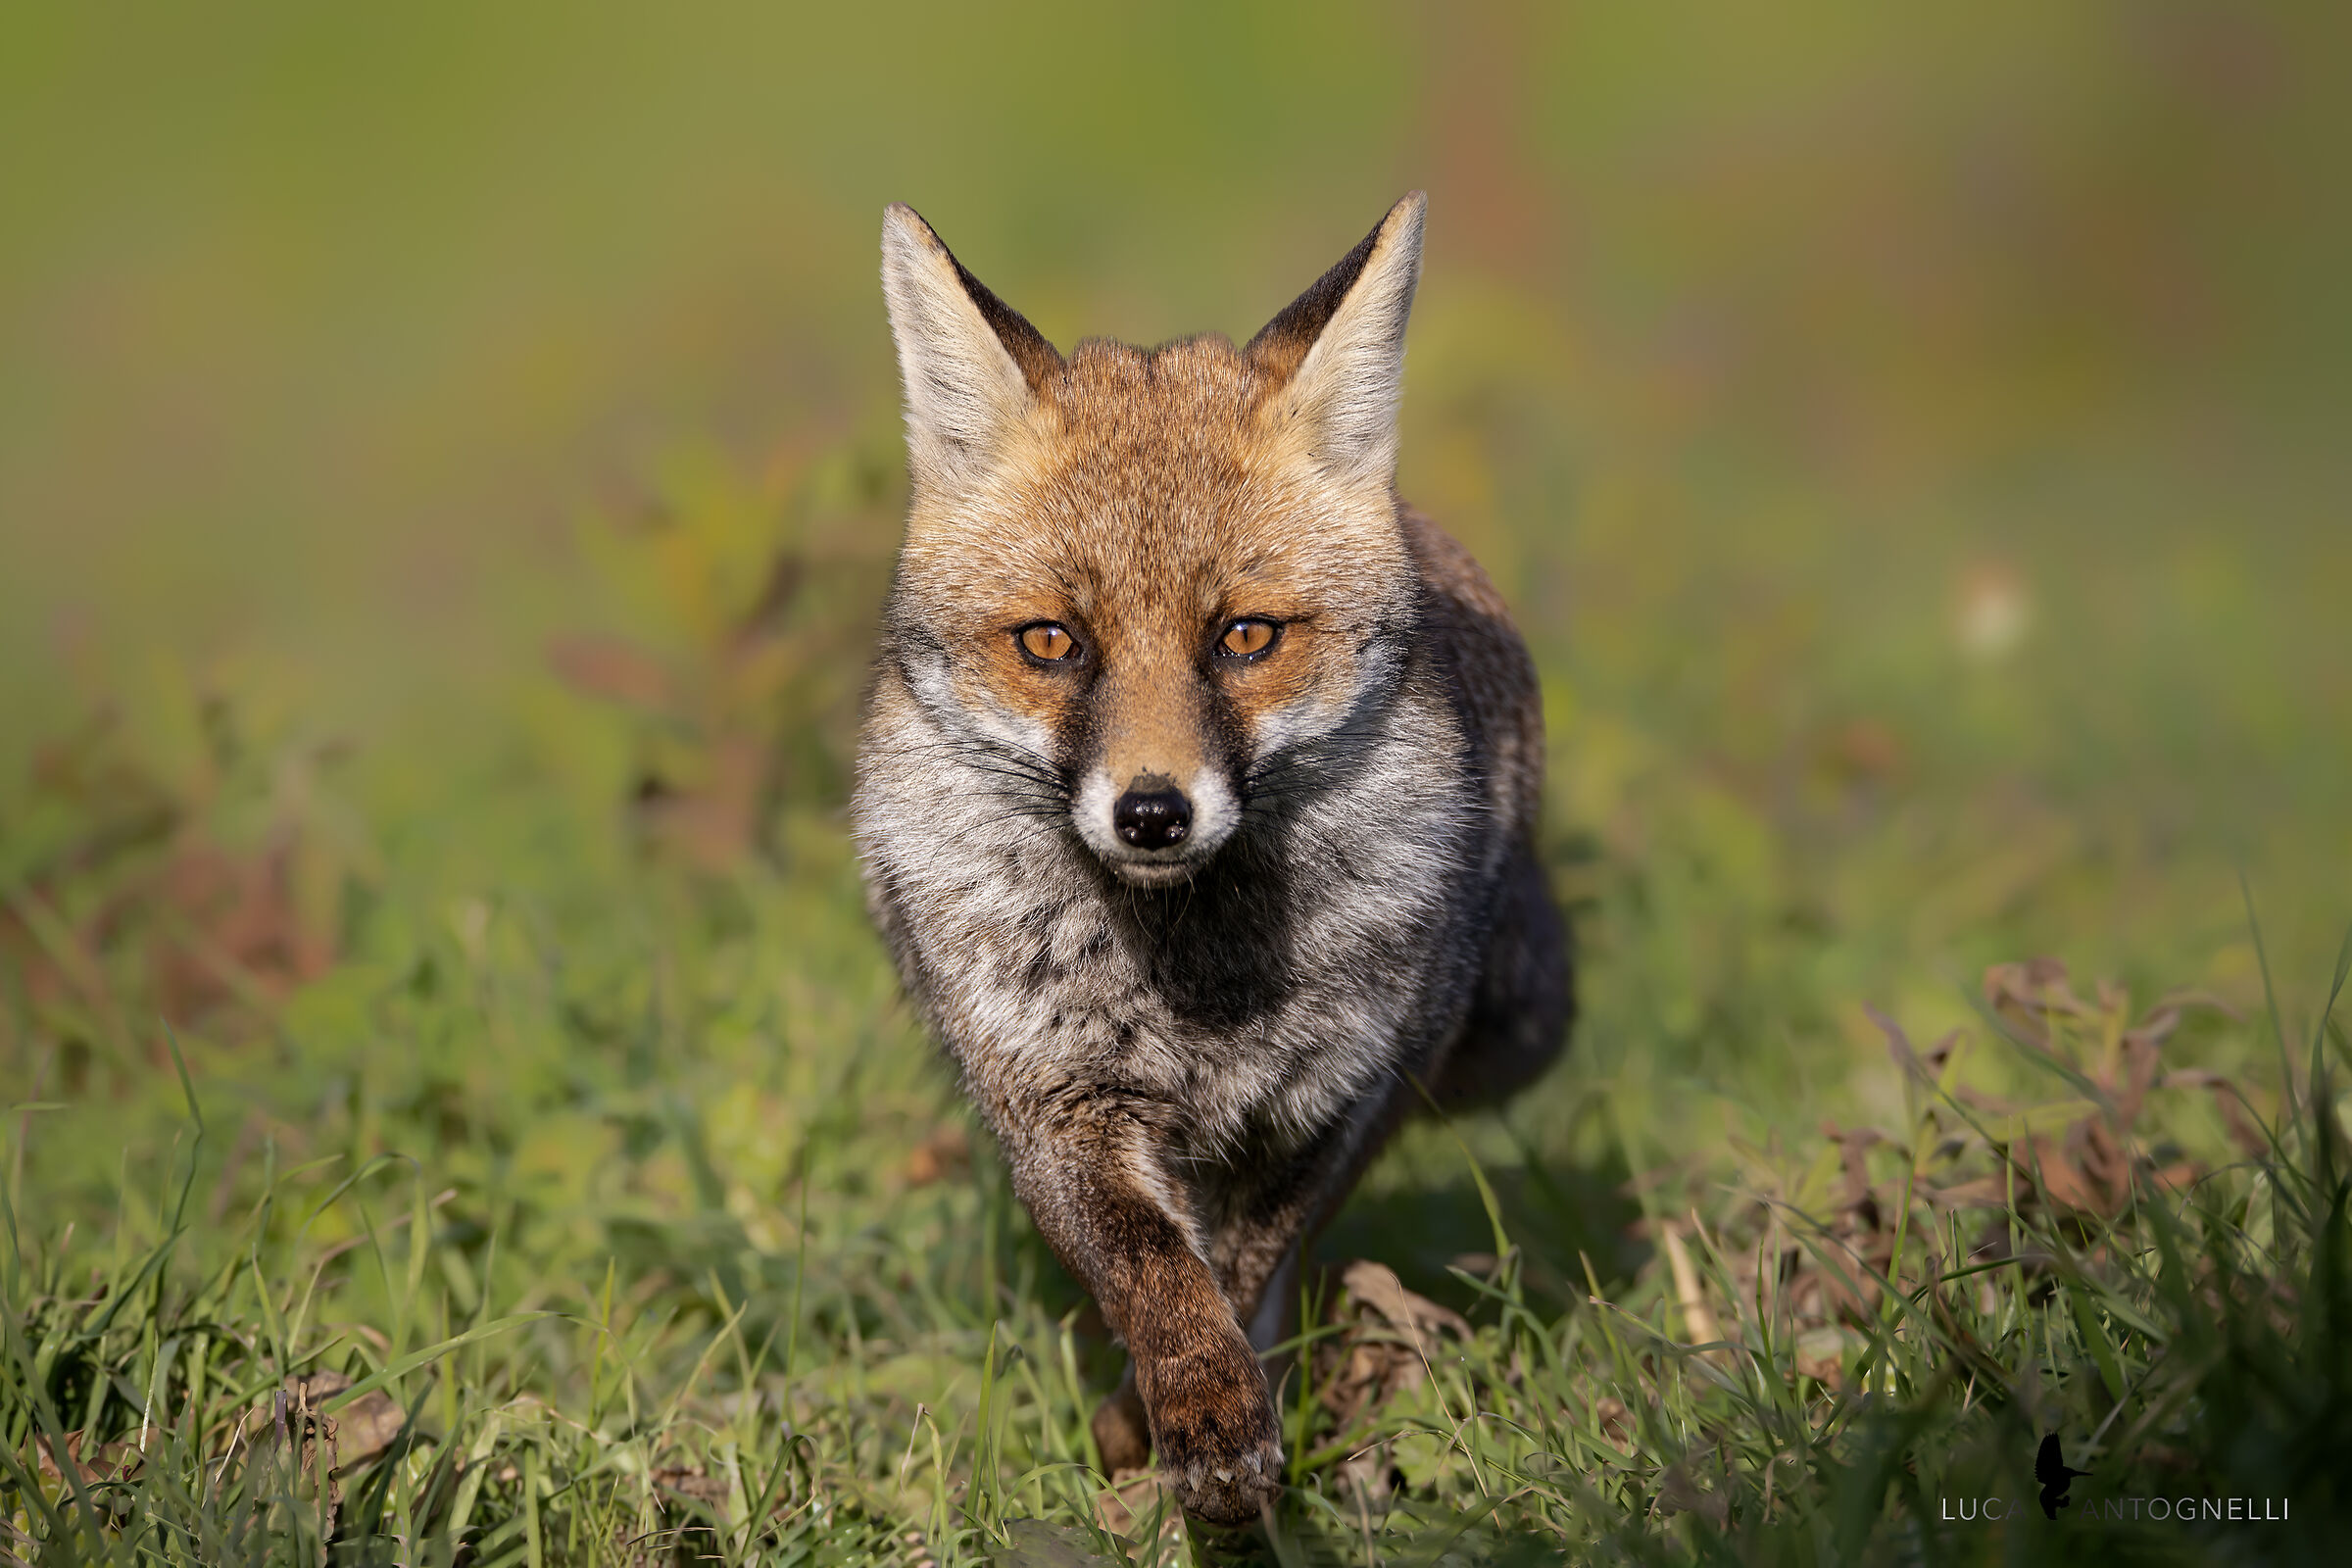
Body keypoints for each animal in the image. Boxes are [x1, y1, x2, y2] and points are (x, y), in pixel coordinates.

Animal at [852, 192, 1573, 1526]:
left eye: (1244, 637)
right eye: (1052, 642)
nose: (1152, 812)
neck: (1192, 978)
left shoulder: (1337, 1102)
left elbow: (1239, 1272)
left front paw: (1192, 1432)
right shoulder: (1056, 1099)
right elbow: (1156, 1274)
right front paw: (1186, 1412)